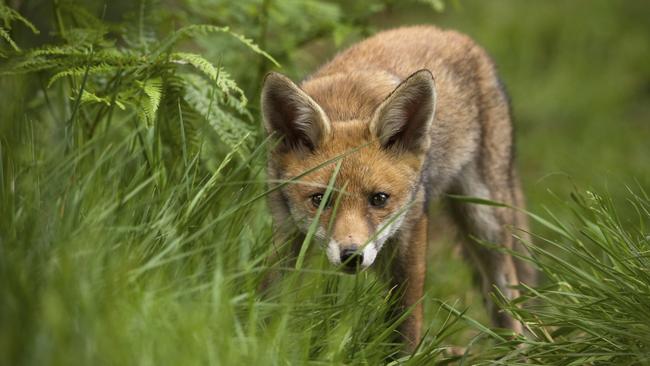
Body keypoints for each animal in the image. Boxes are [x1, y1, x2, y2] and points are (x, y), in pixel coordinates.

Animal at [260, 24, 536, 350]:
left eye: (379, 198)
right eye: (320, 199)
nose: (351, 255)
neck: (346, 108)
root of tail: (448, 33)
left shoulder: (411, 226)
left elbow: (407, 319)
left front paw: (405, 355)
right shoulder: (286, 228)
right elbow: (271, 295)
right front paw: (260, 339)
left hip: (484, 222)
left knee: (508, 300)